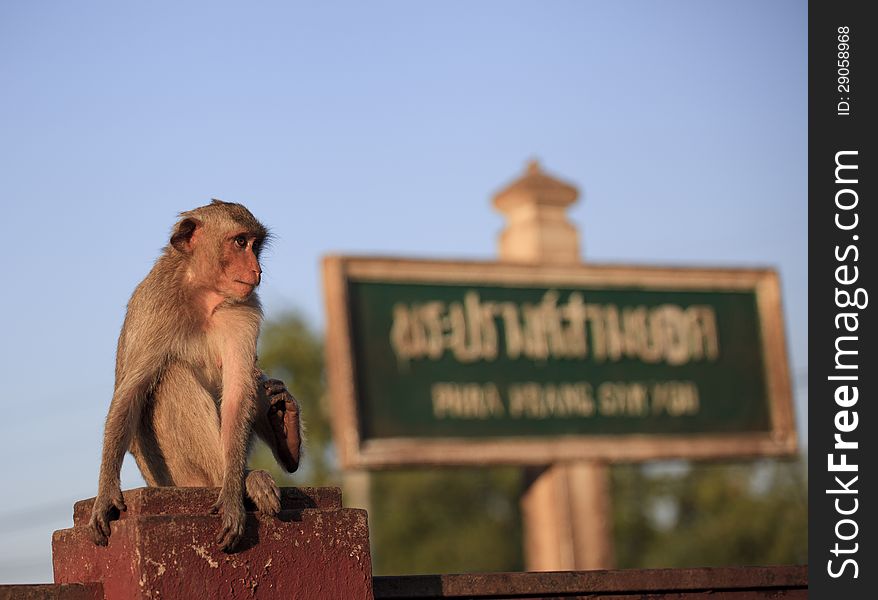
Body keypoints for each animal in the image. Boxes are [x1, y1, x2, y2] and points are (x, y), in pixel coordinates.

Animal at [89, 202, 302, 552]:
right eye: (240, 242)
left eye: (255, 245)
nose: (256, 269)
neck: (203, 294)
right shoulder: (152, 307)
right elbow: (130, 391)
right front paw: (106, 493)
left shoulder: (244, 310)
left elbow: (238, 392)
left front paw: (231, 497)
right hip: (174, 474)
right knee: (171, 375)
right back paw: (245, 476)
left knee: (250, 383)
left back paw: (281, 435)